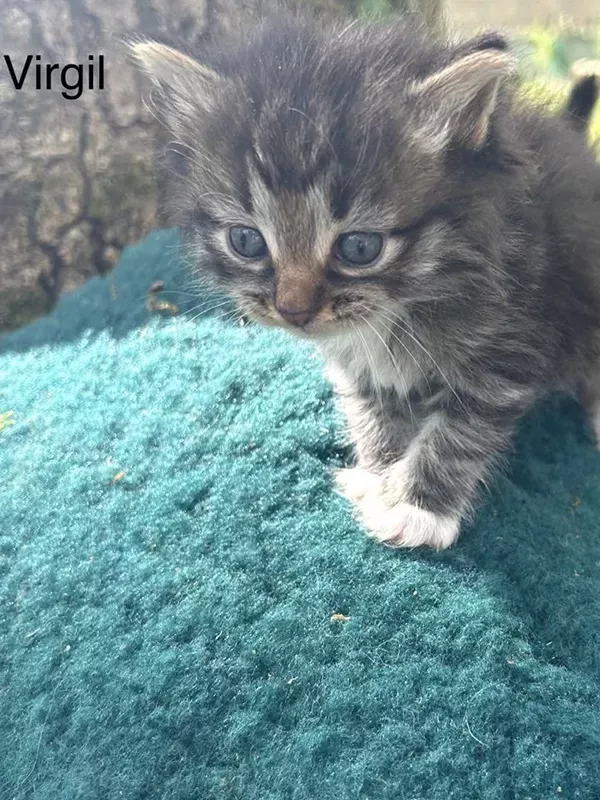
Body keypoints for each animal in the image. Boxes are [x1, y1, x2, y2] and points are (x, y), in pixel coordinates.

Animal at [131, 15, 600, 548]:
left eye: (359, 248)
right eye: (246, 240)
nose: (293, 310)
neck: (406, 303)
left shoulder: (511, 347)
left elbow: (459, 431)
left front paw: (417, 507)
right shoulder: (356, 363)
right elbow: (373, 411)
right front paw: (379, 475)